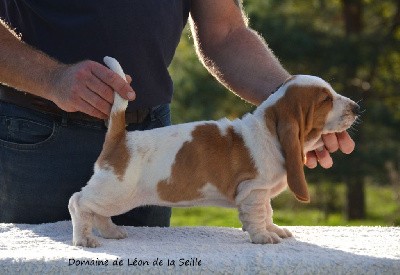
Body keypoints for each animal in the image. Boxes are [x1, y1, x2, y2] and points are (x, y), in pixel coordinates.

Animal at [69, 57, 362, 247]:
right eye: (326, 100)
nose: (357, 107)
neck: (269, 130)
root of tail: (120, 138)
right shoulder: (253, 190)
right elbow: (257, 216)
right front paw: (263, 237)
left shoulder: (262, 192)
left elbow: (267, 213)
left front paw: (274, 230)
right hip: (115, 190)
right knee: (79, 202)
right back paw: (84, 238)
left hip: (114, 195)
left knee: (97, 210)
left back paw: (111, 232)